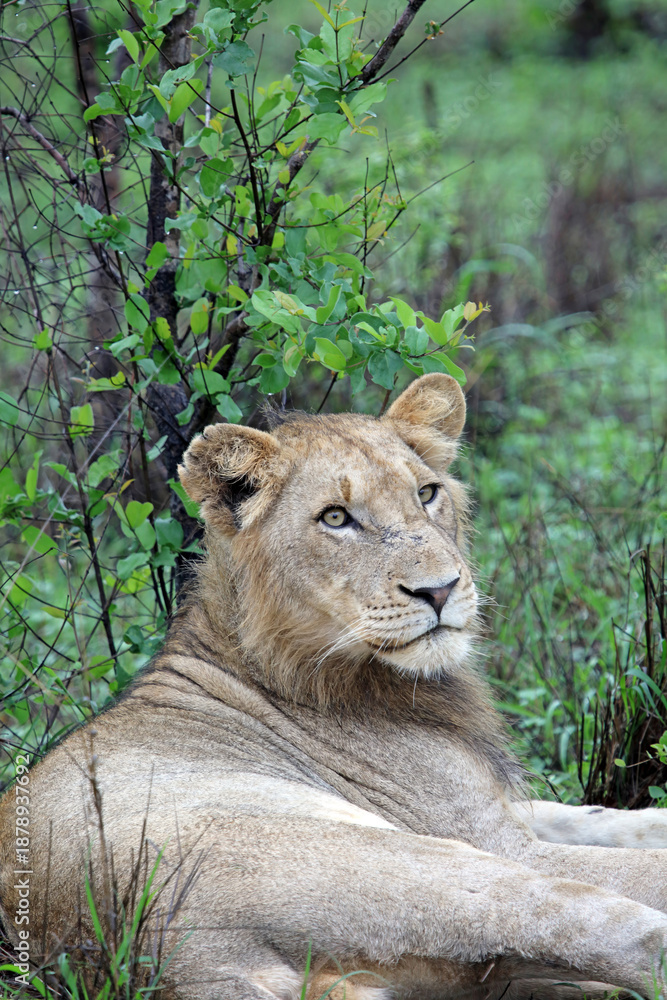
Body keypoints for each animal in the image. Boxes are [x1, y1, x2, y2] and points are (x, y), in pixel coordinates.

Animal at [2, 373, 667, 1000]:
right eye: (337, 518)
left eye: (427, 494)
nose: (441, 590)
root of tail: (177, 965)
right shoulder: (487, 837)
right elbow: (639, 864)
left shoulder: (502, 808)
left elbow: (616, 819)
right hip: (414, 862)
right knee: (621, 936)